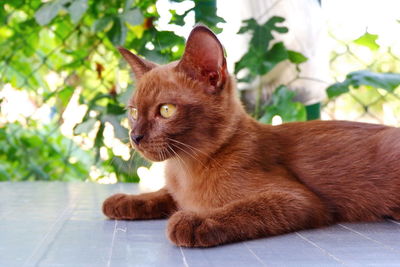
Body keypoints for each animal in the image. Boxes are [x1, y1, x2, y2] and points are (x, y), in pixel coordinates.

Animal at [102, 26, 400, 248]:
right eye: (133, 112)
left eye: (166, 110)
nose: (135, 136)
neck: (185, 169)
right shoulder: (176, 190)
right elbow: (164, 194)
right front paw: (124, 200)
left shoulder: (299, 199)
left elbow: (247, 207)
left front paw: (194, 220)